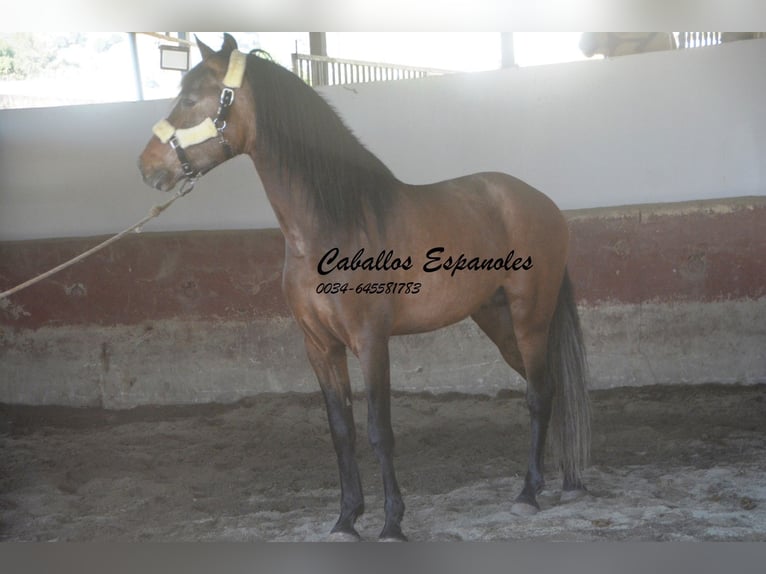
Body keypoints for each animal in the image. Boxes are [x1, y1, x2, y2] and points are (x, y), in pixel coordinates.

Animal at [140, 32, 592, 544]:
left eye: (191, 99)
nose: (146, 166)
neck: (332, 227)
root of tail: (540, 202)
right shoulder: (320, 346)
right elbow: (342, 431)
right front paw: (345, 520)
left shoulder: (371, 341)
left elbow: (380, 430)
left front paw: (392, 523)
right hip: (498, 321)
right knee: (551, 387)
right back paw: (566, 481)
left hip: (530, 317)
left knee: (539, 394)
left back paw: (528, 494)